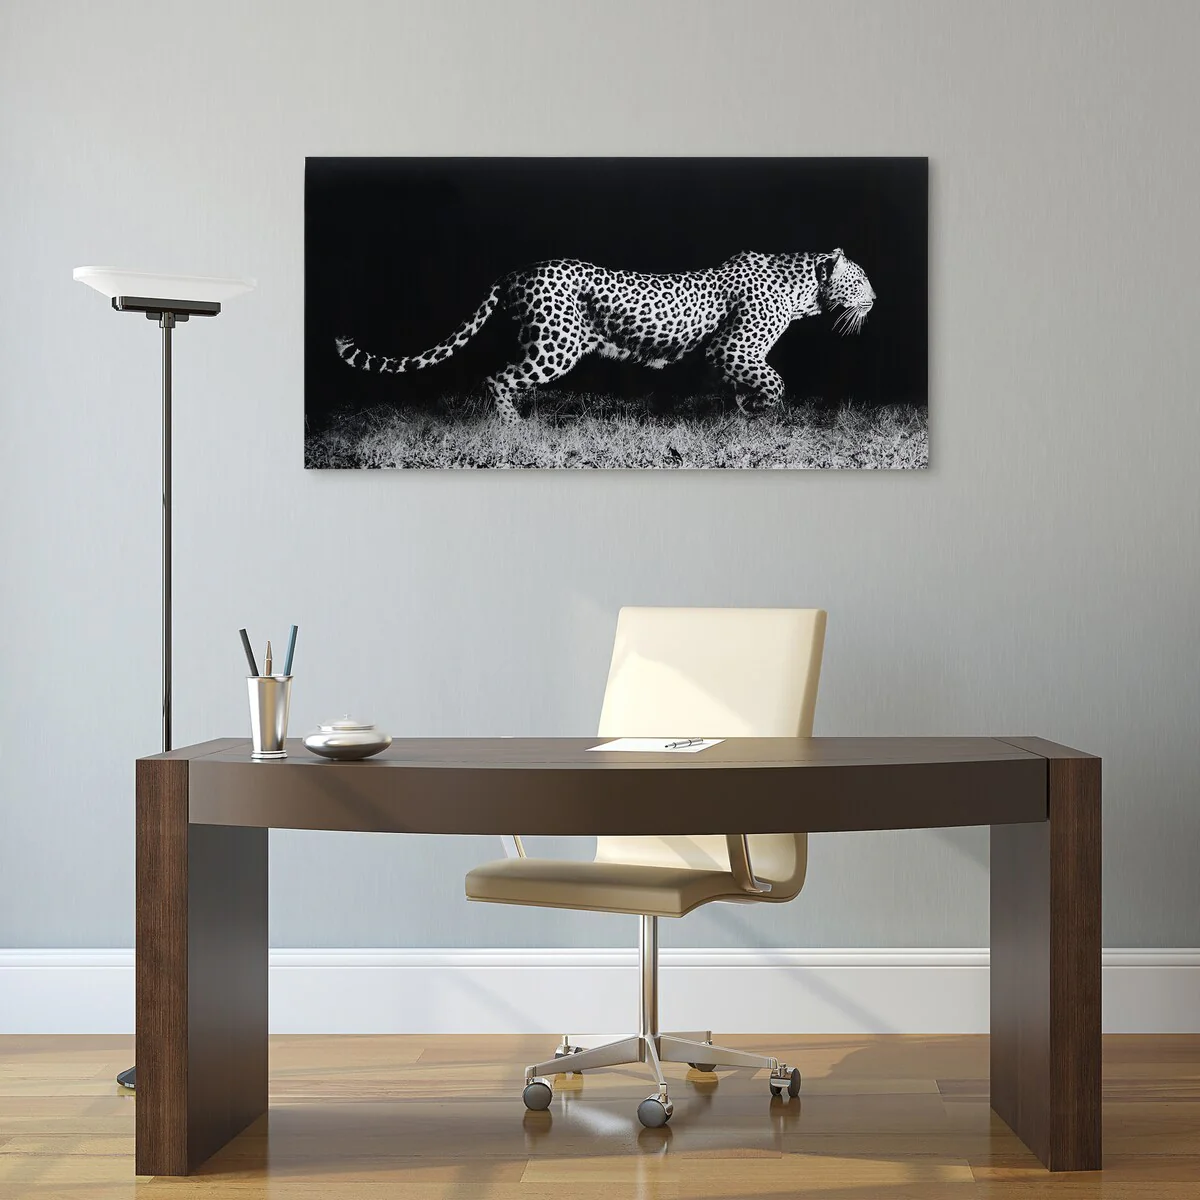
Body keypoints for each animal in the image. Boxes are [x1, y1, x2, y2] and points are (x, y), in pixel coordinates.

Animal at [335, 248, 875, 423]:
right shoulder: (731, 347)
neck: (804, 291)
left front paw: (741, 413)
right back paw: (515, 428)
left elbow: (742, 385)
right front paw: (760, 410)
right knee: (496, 377)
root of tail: (515, 272)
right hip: (557, 344)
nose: (876, 299)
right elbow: (775, 382)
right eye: (862, 279)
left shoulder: (725, 356)